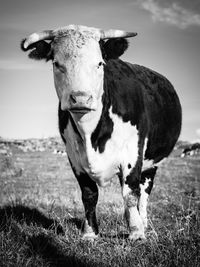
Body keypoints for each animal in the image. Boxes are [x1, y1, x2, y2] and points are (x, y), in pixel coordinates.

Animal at [21, 25, 182, 242]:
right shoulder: (74, 157)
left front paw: (136, 232)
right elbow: (89, 195)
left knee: (144, 192)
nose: (80, 98)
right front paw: (90, 233)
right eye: (57, 63)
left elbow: (130, 194)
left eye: (99, 63)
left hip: (152, 163)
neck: (92, 136)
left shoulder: (133, 153)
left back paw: (143, 222)